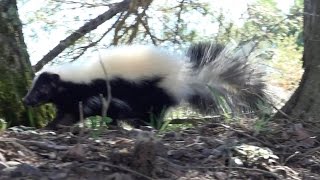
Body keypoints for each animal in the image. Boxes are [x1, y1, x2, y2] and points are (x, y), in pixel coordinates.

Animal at [22, 41, 266, 129]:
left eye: (42, 89)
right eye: (33, 88)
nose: (26, 100)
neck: (78, 80)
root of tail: (185, 77)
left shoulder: (101, 91)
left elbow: (102, 107)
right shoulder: (72, 100)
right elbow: (69, 113)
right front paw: (51, 126)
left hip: (156, 90)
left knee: (154, 112)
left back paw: (146, 125)